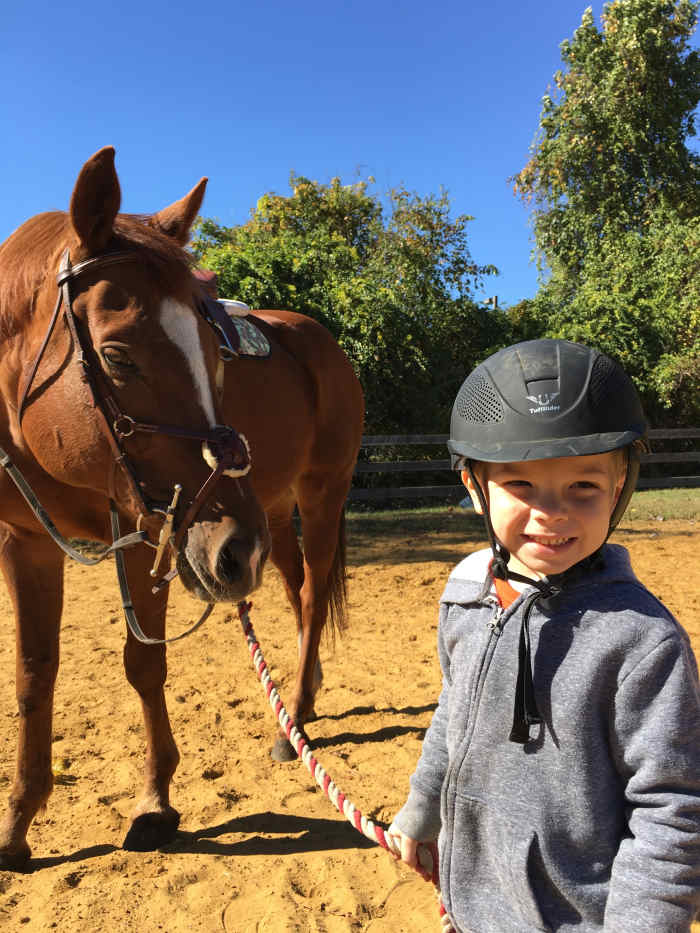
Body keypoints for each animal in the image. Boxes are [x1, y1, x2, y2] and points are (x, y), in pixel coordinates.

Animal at [0, 147, 271, 867]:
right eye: (117, 357)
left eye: (215, 354)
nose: (242, 550)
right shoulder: (25, 542)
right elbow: (34, 673)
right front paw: (17, 823)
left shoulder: (155, 531)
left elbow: (144, 664)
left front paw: (154, 803)